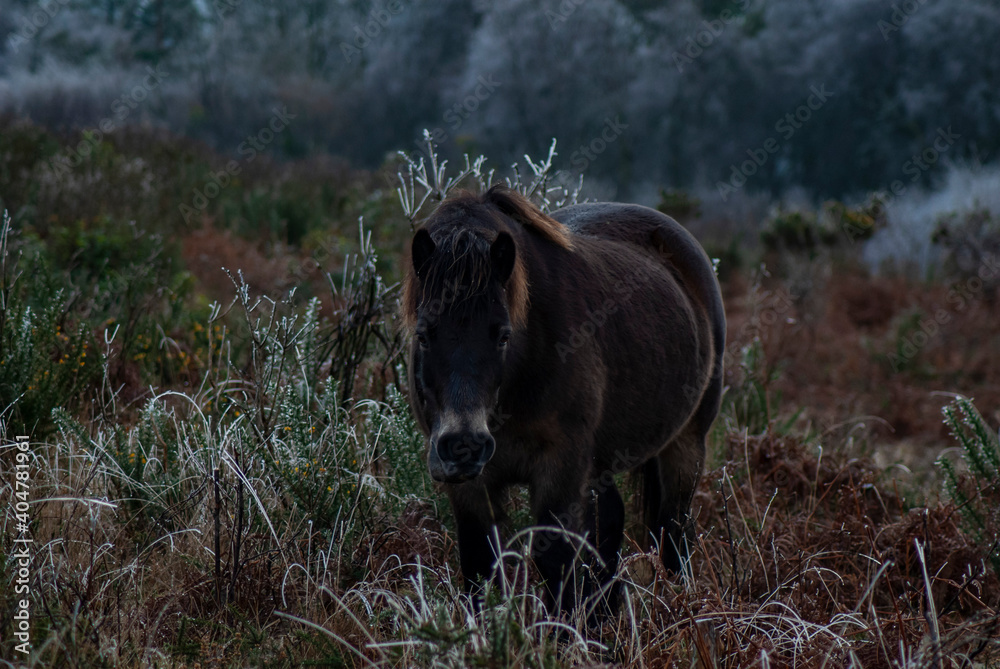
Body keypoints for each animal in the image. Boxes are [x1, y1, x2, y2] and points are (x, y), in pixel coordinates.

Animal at [402, 184, 725, 616]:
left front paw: (565, 631)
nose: (463, 445)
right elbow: (479, 565)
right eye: (423, 334)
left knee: (672, 530)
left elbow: (555, 561)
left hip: (686, 445)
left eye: (503, 335)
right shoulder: (471, 487)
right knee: (611, 522)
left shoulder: (561, 467)